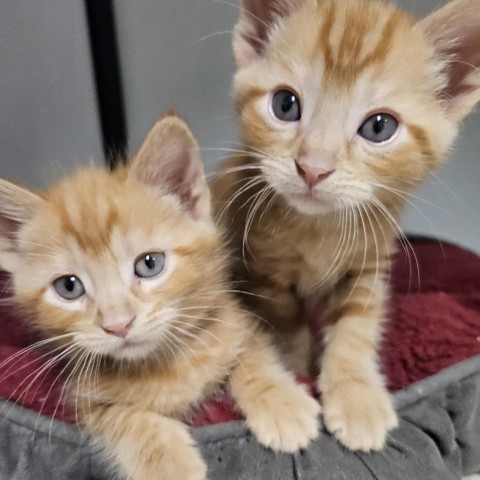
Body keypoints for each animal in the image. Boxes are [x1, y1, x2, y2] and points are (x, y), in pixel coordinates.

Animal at [0, 113, 322, 480]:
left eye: (149, 264)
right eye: (69, 287)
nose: (119, 325)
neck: (165, 362)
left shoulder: (238, 322)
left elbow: (254, 357)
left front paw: (284, 406)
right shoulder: (83, 398)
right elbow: (125, 417)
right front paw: (169, 464)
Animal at [213, 0, 480, 454]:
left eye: (379, 127)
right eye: (285, 105)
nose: (312, 168)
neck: (320, 228)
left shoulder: (371, 264)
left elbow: (356, 329)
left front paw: (356, 397)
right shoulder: (262, 274)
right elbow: (289, 328)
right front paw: (302, 371)